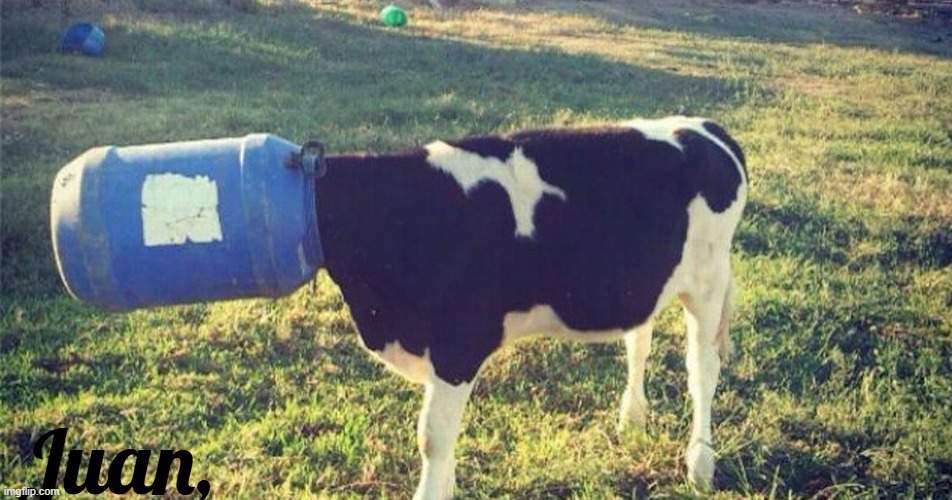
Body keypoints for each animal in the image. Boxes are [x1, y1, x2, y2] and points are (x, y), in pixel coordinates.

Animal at [313, 116, 748, 499]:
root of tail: (707, 129)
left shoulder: (459, 345)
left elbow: (433, 437)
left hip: (707, 283)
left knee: (702, 370)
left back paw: (700, 465)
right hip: (648, 284)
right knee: (639, 343)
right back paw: (631, 421)